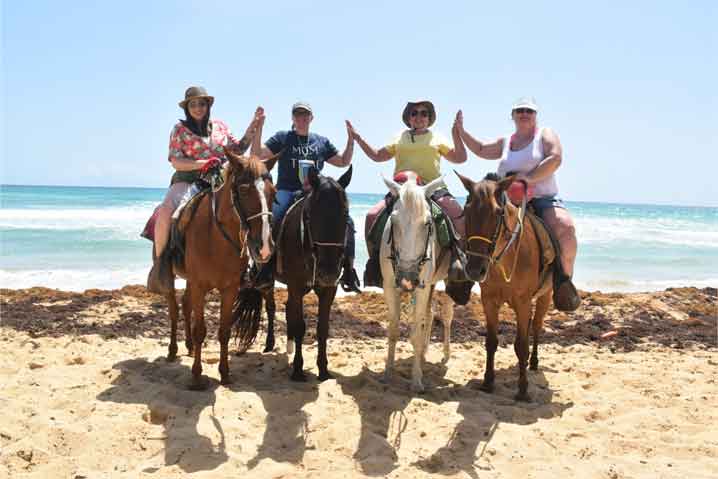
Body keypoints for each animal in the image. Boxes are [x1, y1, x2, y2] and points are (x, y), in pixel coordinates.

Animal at [167, 150, 278, 390]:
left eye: (273, 193)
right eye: (244, 189)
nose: (264, 247)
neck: (215, 238)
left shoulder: (229, 289)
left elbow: (224, 331)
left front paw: (225, 373)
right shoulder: (200, 286)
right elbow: (200, 330)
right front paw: (197, 376)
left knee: (185, 304)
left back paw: (189, 346)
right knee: (174, 309)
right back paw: (172, 350)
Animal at [242, 165, 354, 382]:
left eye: (345, 214)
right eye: (311, 214)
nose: (328, 272)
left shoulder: (329, 289)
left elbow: (322, 328)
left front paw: (323, 369)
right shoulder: (296, 285)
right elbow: (300, 325)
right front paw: (298, 370)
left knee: (288, 310)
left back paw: (290, 345)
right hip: (269, 281)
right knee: (272, 307)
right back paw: (270, 343)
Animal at [382, 172, 456, 394]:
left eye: (427, 223)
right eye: (393, 220)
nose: (407, 276)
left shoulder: (421, 289)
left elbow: (415, 332)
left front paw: (416, 380)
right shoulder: (390, 286)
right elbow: (394, 329)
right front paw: (388, 373)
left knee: (445, 317)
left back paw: (445, 354)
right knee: (430, 315)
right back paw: (423, 353)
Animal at [458, 172, 556, 402]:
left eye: (497, 212)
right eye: (466, 210)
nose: (475, 269)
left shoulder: (523, 302)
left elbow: (521, 345)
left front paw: (523, 390)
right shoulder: (489, 301)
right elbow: (491, 341)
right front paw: (488, 382)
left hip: (545, 296)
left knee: (536, 326)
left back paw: (533, 362)